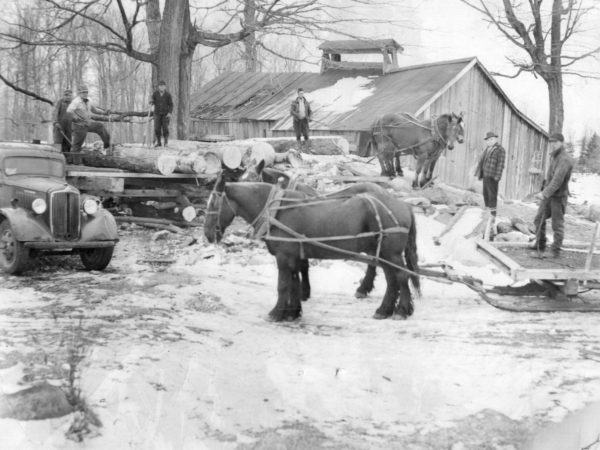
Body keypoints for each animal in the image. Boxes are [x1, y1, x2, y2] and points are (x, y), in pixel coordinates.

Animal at [204, 174, 420, 322]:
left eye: (214, 203)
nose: (207, 234)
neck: (276, 211)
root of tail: (403, 205)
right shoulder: (293, 256)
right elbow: (294, 283)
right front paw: (292, 312)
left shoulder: (283, 256)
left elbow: (283, 285)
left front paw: (276, 313)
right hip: (383, 252)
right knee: (391, 279)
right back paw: (385, 309)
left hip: (391, 253)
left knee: (401, 276)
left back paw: (401, 310)